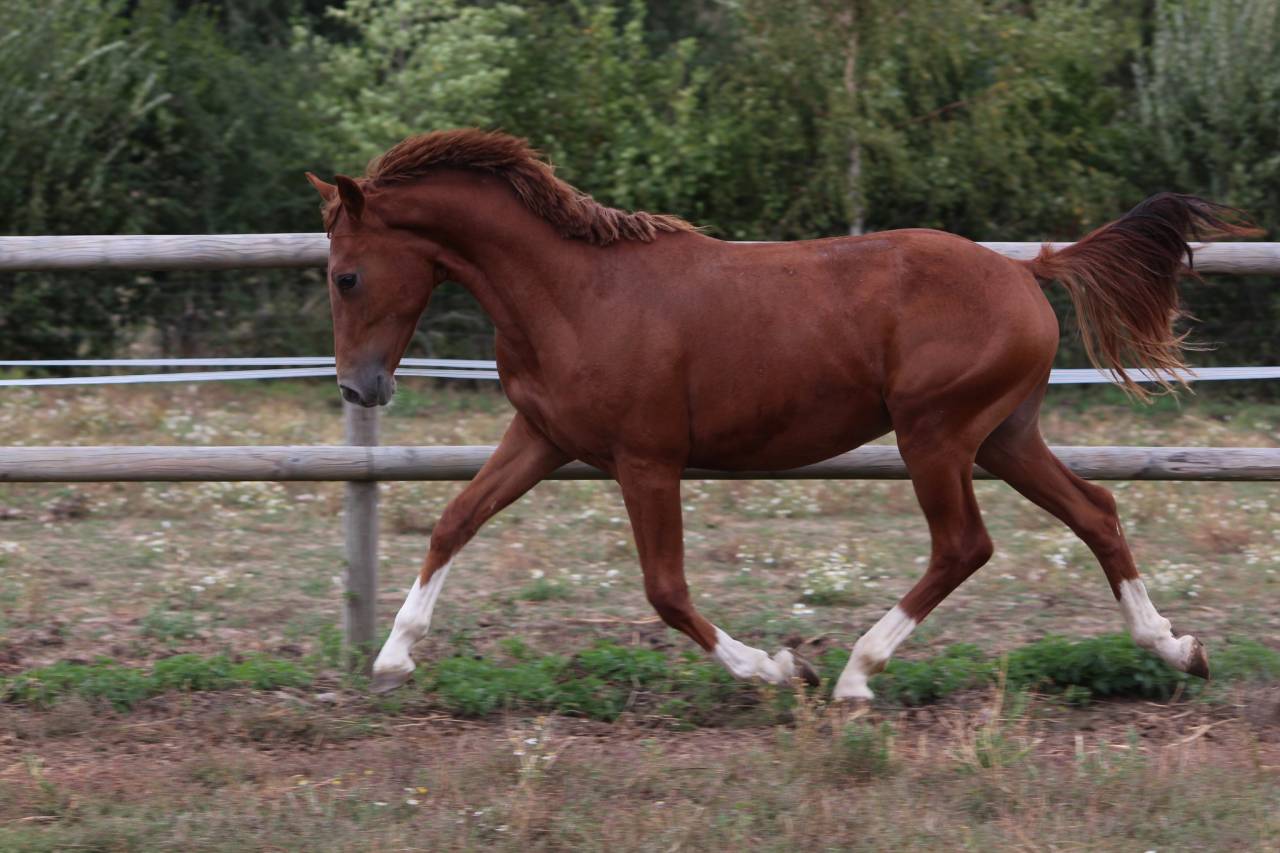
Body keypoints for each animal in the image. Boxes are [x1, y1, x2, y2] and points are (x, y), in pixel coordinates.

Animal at [306, 129, 1259, 698]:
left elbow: (665, 589)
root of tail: (1028, 269)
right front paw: (393, 655)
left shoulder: (646, 459)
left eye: (345, 274)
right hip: (1005, 435)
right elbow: (455, 519)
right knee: (1096, 511)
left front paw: (773, 665)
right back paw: (1179, 648)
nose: (360, 388)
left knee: (965, 544)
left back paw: (854, 673)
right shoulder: (541, 438)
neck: (574, 293)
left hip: (937, 434)